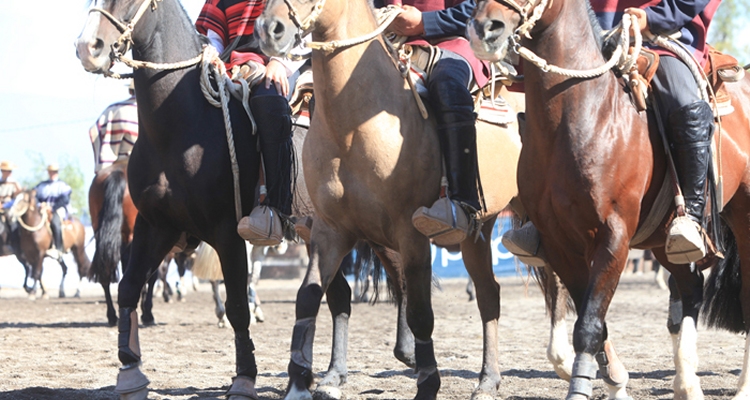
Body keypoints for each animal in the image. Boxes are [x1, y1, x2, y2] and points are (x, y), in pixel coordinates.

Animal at [256, 0, 572, 400]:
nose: (270, 29)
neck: (355, 126)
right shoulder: (329, 232)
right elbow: (310, 297)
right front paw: (301, 383)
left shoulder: (411, 235)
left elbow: (420, 312)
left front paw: (427, 383)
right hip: (476, 230)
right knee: (489, 294)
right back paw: (488, 380)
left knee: (558, 279)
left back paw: (570, 360)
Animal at [472, 1, 750, 398]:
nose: (485, 28)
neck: (582, 116)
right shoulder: (561, 245)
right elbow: (593, 319)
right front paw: (616, 380)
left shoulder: (613, 239)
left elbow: (588, 325)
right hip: (665, 243)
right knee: (690, 290)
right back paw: (686, 382)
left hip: (742, 218)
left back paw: (740, 386)